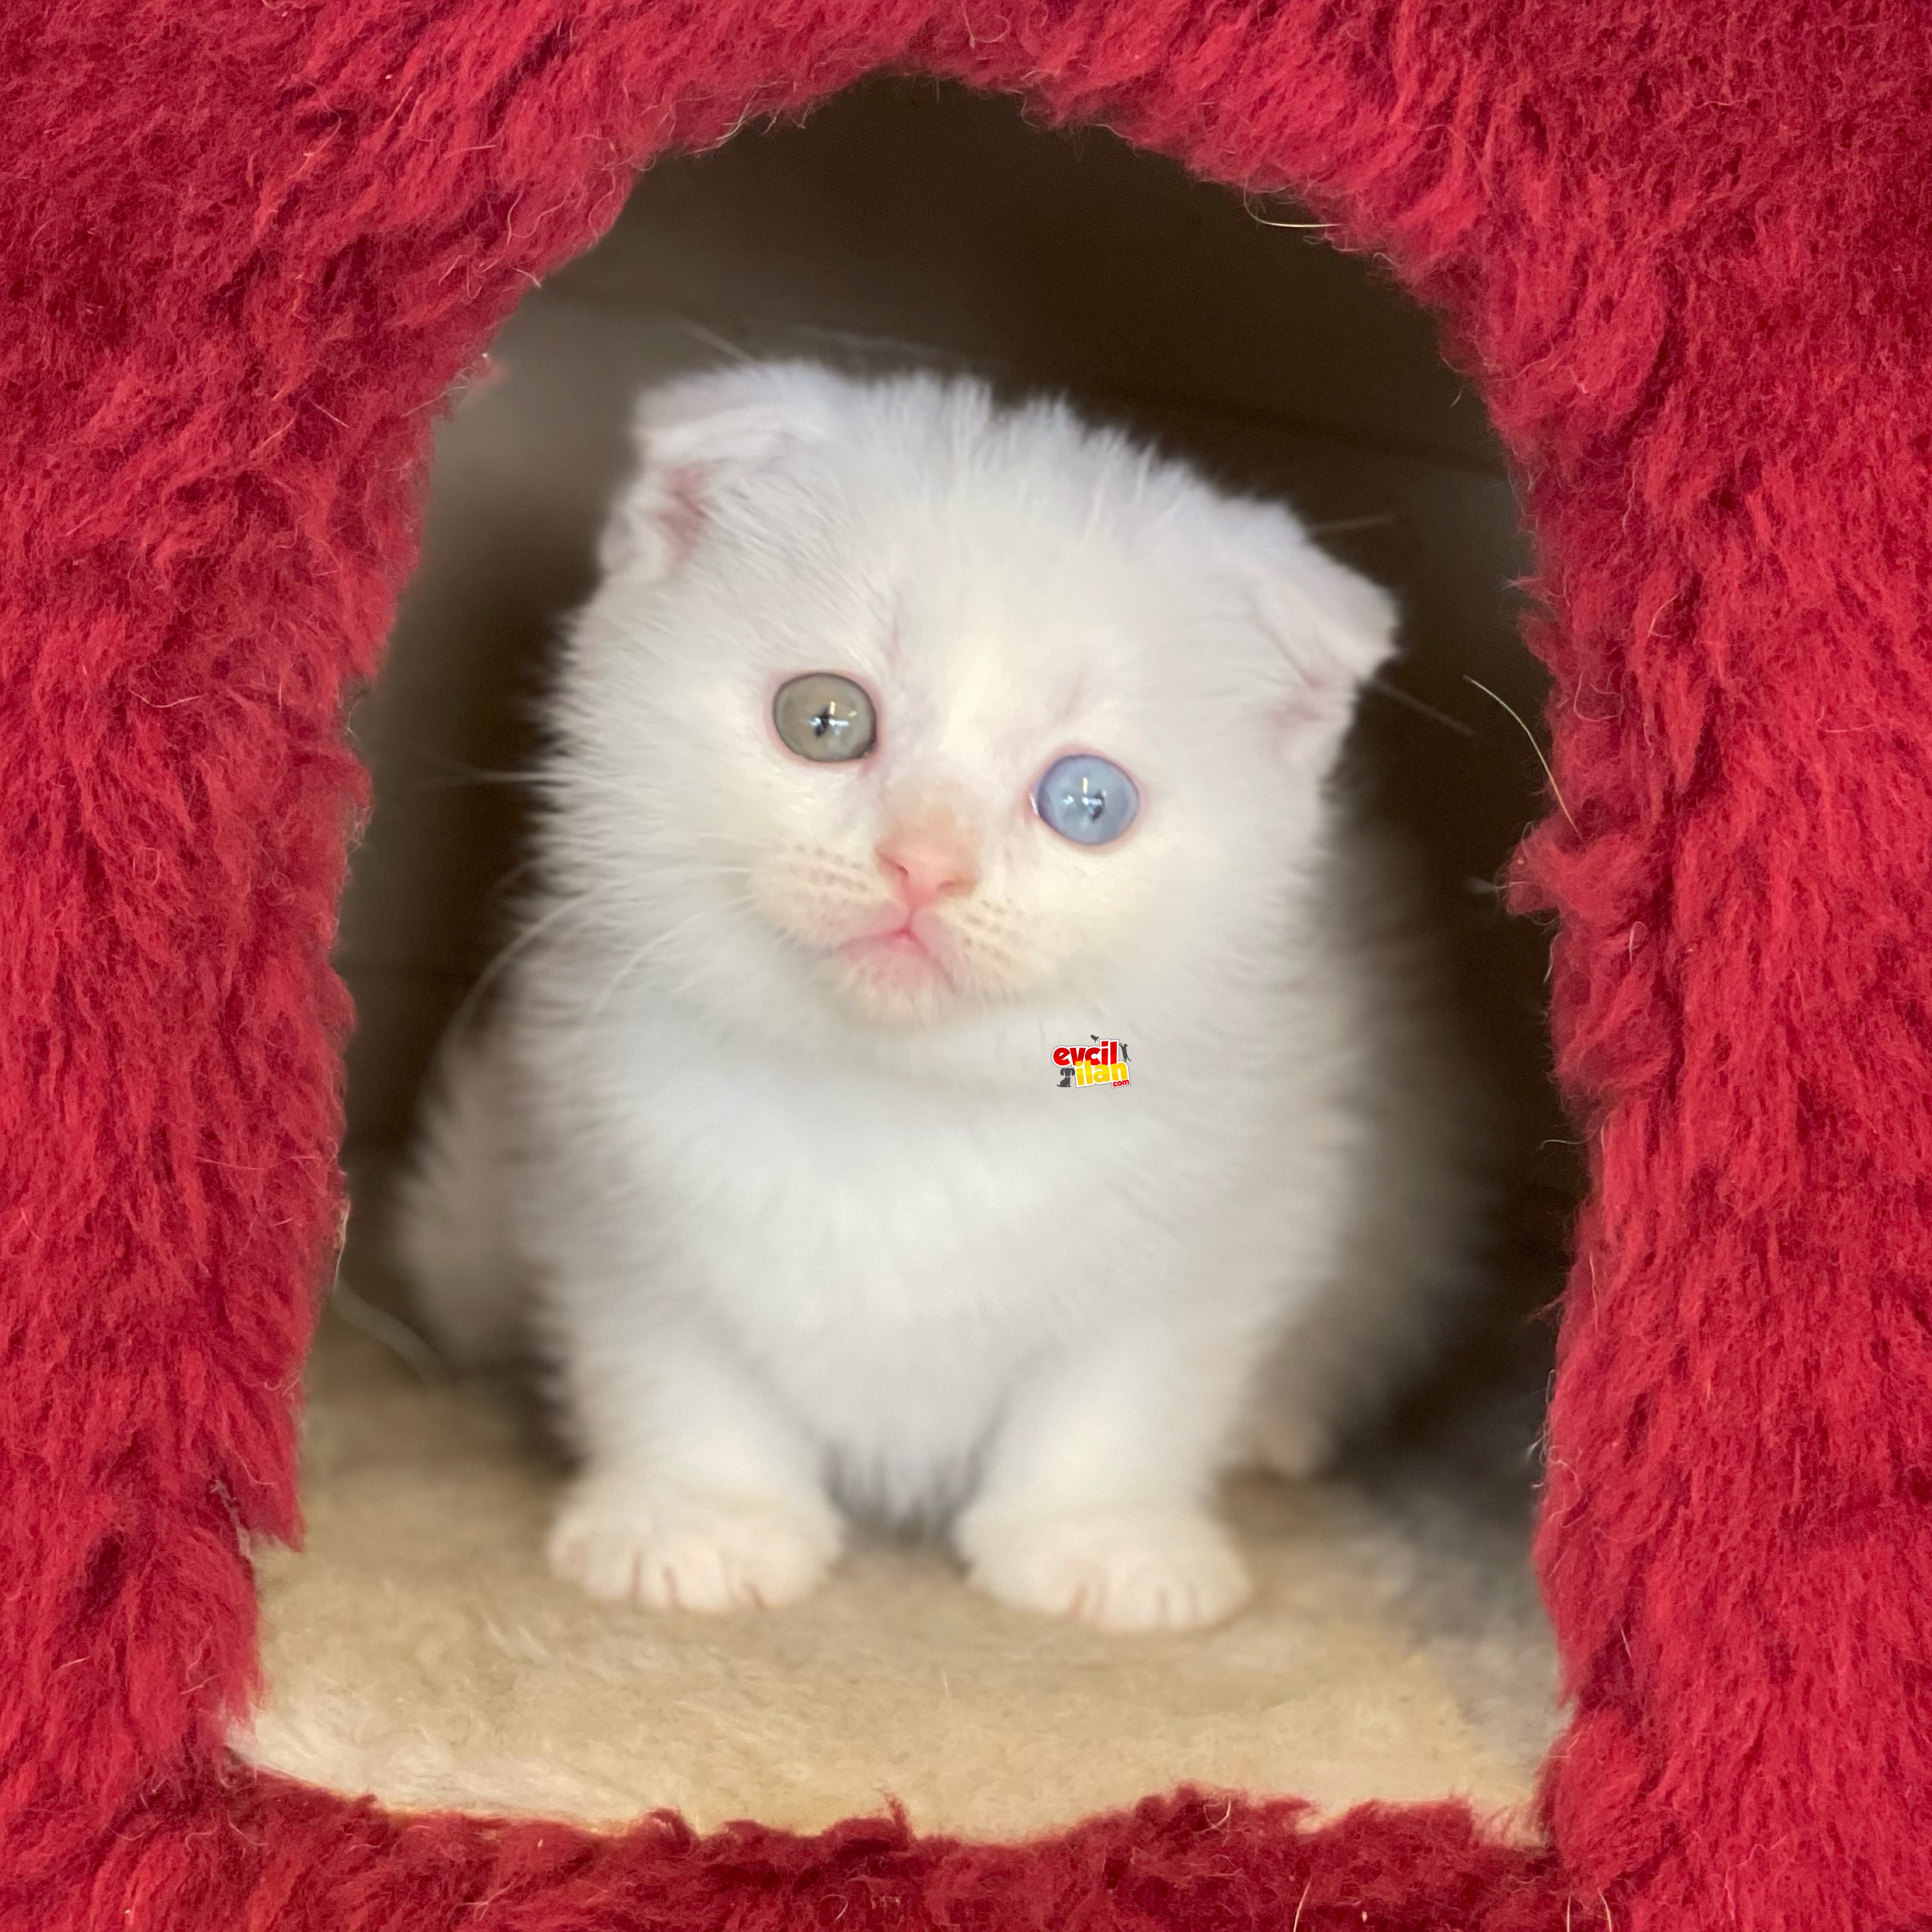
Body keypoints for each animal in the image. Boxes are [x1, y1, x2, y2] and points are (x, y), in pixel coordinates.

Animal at [392, 363, 1476, 1630]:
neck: (899, 1102)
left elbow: (1131, 1377)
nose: (924, 864)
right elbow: (670, 1348)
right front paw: (700, 1520)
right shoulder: (594, 1166)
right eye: (823, 718)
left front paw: (1099, 1544)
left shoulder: (1247, 1182)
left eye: (1090, 801)